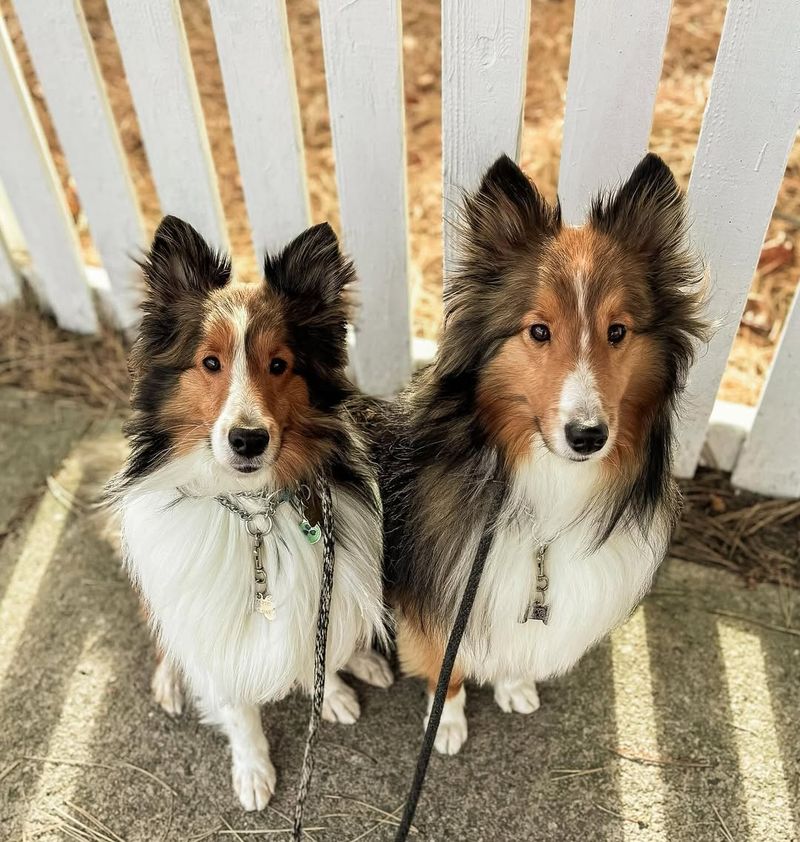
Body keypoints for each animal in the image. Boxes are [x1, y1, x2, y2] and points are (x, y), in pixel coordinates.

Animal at [110, 217, 390, 808]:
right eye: (209, 362)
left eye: (279, 365)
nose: (247, 440)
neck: (254, 510)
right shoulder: (212, 621)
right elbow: (238, 710)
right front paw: (254, 770)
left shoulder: (317, 588)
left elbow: (317, 653)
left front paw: (331, 691)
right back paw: (171, 681)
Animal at [378, 153, 708, 756]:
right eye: (538, 331)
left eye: (617, 331)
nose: (588, 436)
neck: (550, 480)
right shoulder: (438, 591)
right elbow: (444, 662)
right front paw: (447, 720)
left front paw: (513, 685)